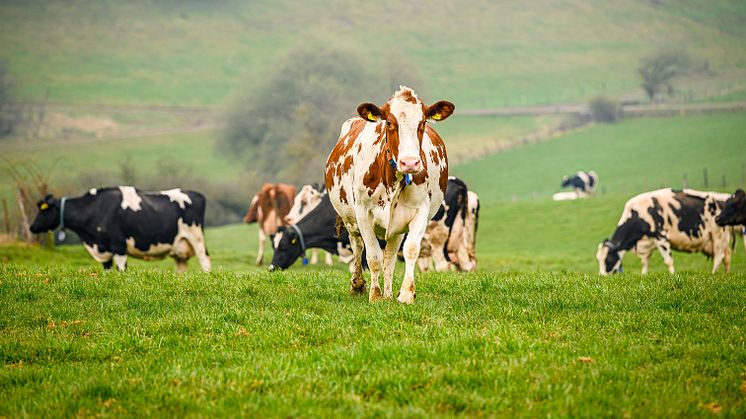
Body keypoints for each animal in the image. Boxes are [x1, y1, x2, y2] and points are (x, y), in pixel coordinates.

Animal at [29, 187, 209, 272]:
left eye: (43, 210)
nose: (32, 227)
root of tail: (198, 194)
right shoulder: (104, 250)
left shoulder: (119, 246)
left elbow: (122, 270)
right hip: (179, 246)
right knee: (181, 266)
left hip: (196, 238)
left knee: (205, 260)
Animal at [326, 85, 454, 304]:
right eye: (390, 123)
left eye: (422, 123)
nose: (410, 162)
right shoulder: (362, 212)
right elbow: (373, 256)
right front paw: (375, 295)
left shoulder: (420, 210)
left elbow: (409, 250)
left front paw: (405, 293)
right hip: (349, 217)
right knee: (357, 244)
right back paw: (358, 285)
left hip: (396, 226)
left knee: (391, 255)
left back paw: (388, 293)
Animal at [596, 188, 728, 276]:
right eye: (599, 260)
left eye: (608, 259)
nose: (602, 276)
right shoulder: (647, 243)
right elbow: (645, 263)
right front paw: (644, 275)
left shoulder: (661, 237)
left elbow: (668, 261)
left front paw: (673, 276)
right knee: (726, 258)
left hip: (718, 235)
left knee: (718, 257)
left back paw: (713, 274)